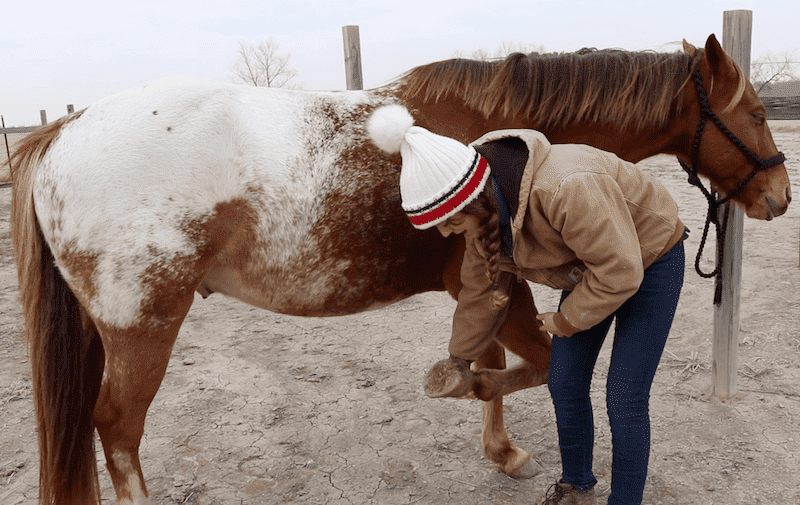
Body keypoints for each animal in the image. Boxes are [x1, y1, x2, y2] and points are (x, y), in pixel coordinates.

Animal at [8, 33, 789, 504]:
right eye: (755, 111)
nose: (780, 195)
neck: (498, 148)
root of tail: (64, 131)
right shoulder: (508, 291)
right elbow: (533, 365)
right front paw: (481, 401)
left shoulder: (488, 289)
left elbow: (498, 359)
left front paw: (501, 446)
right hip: (143, 326)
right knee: (117, 428)